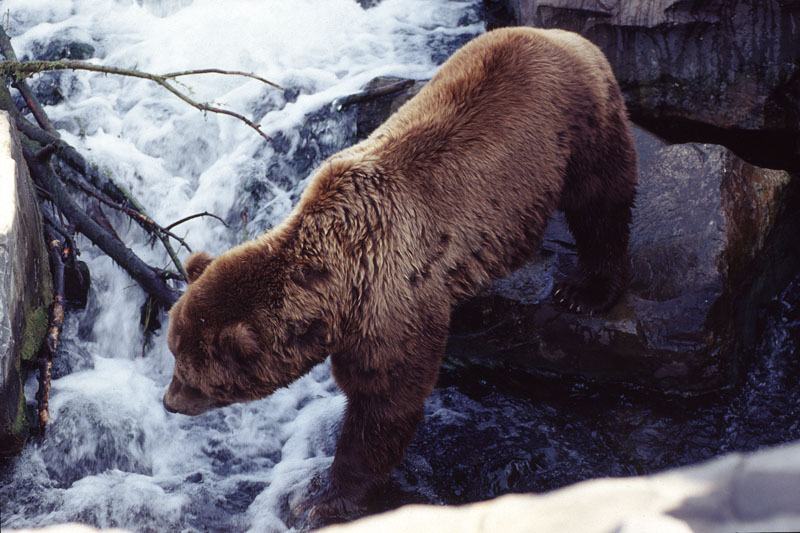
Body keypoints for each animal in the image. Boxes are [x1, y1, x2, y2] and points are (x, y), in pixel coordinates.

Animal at [162, 25, 636, 516]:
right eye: (173, 350)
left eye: (196, 375)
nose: (169, 402)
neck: (338, 283)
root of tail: (559, 33)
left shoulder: (390, 298)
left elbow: (384, 399)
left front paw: (324, 493)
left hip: (579, 125)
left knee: (601, 201)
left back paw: (585, 290)